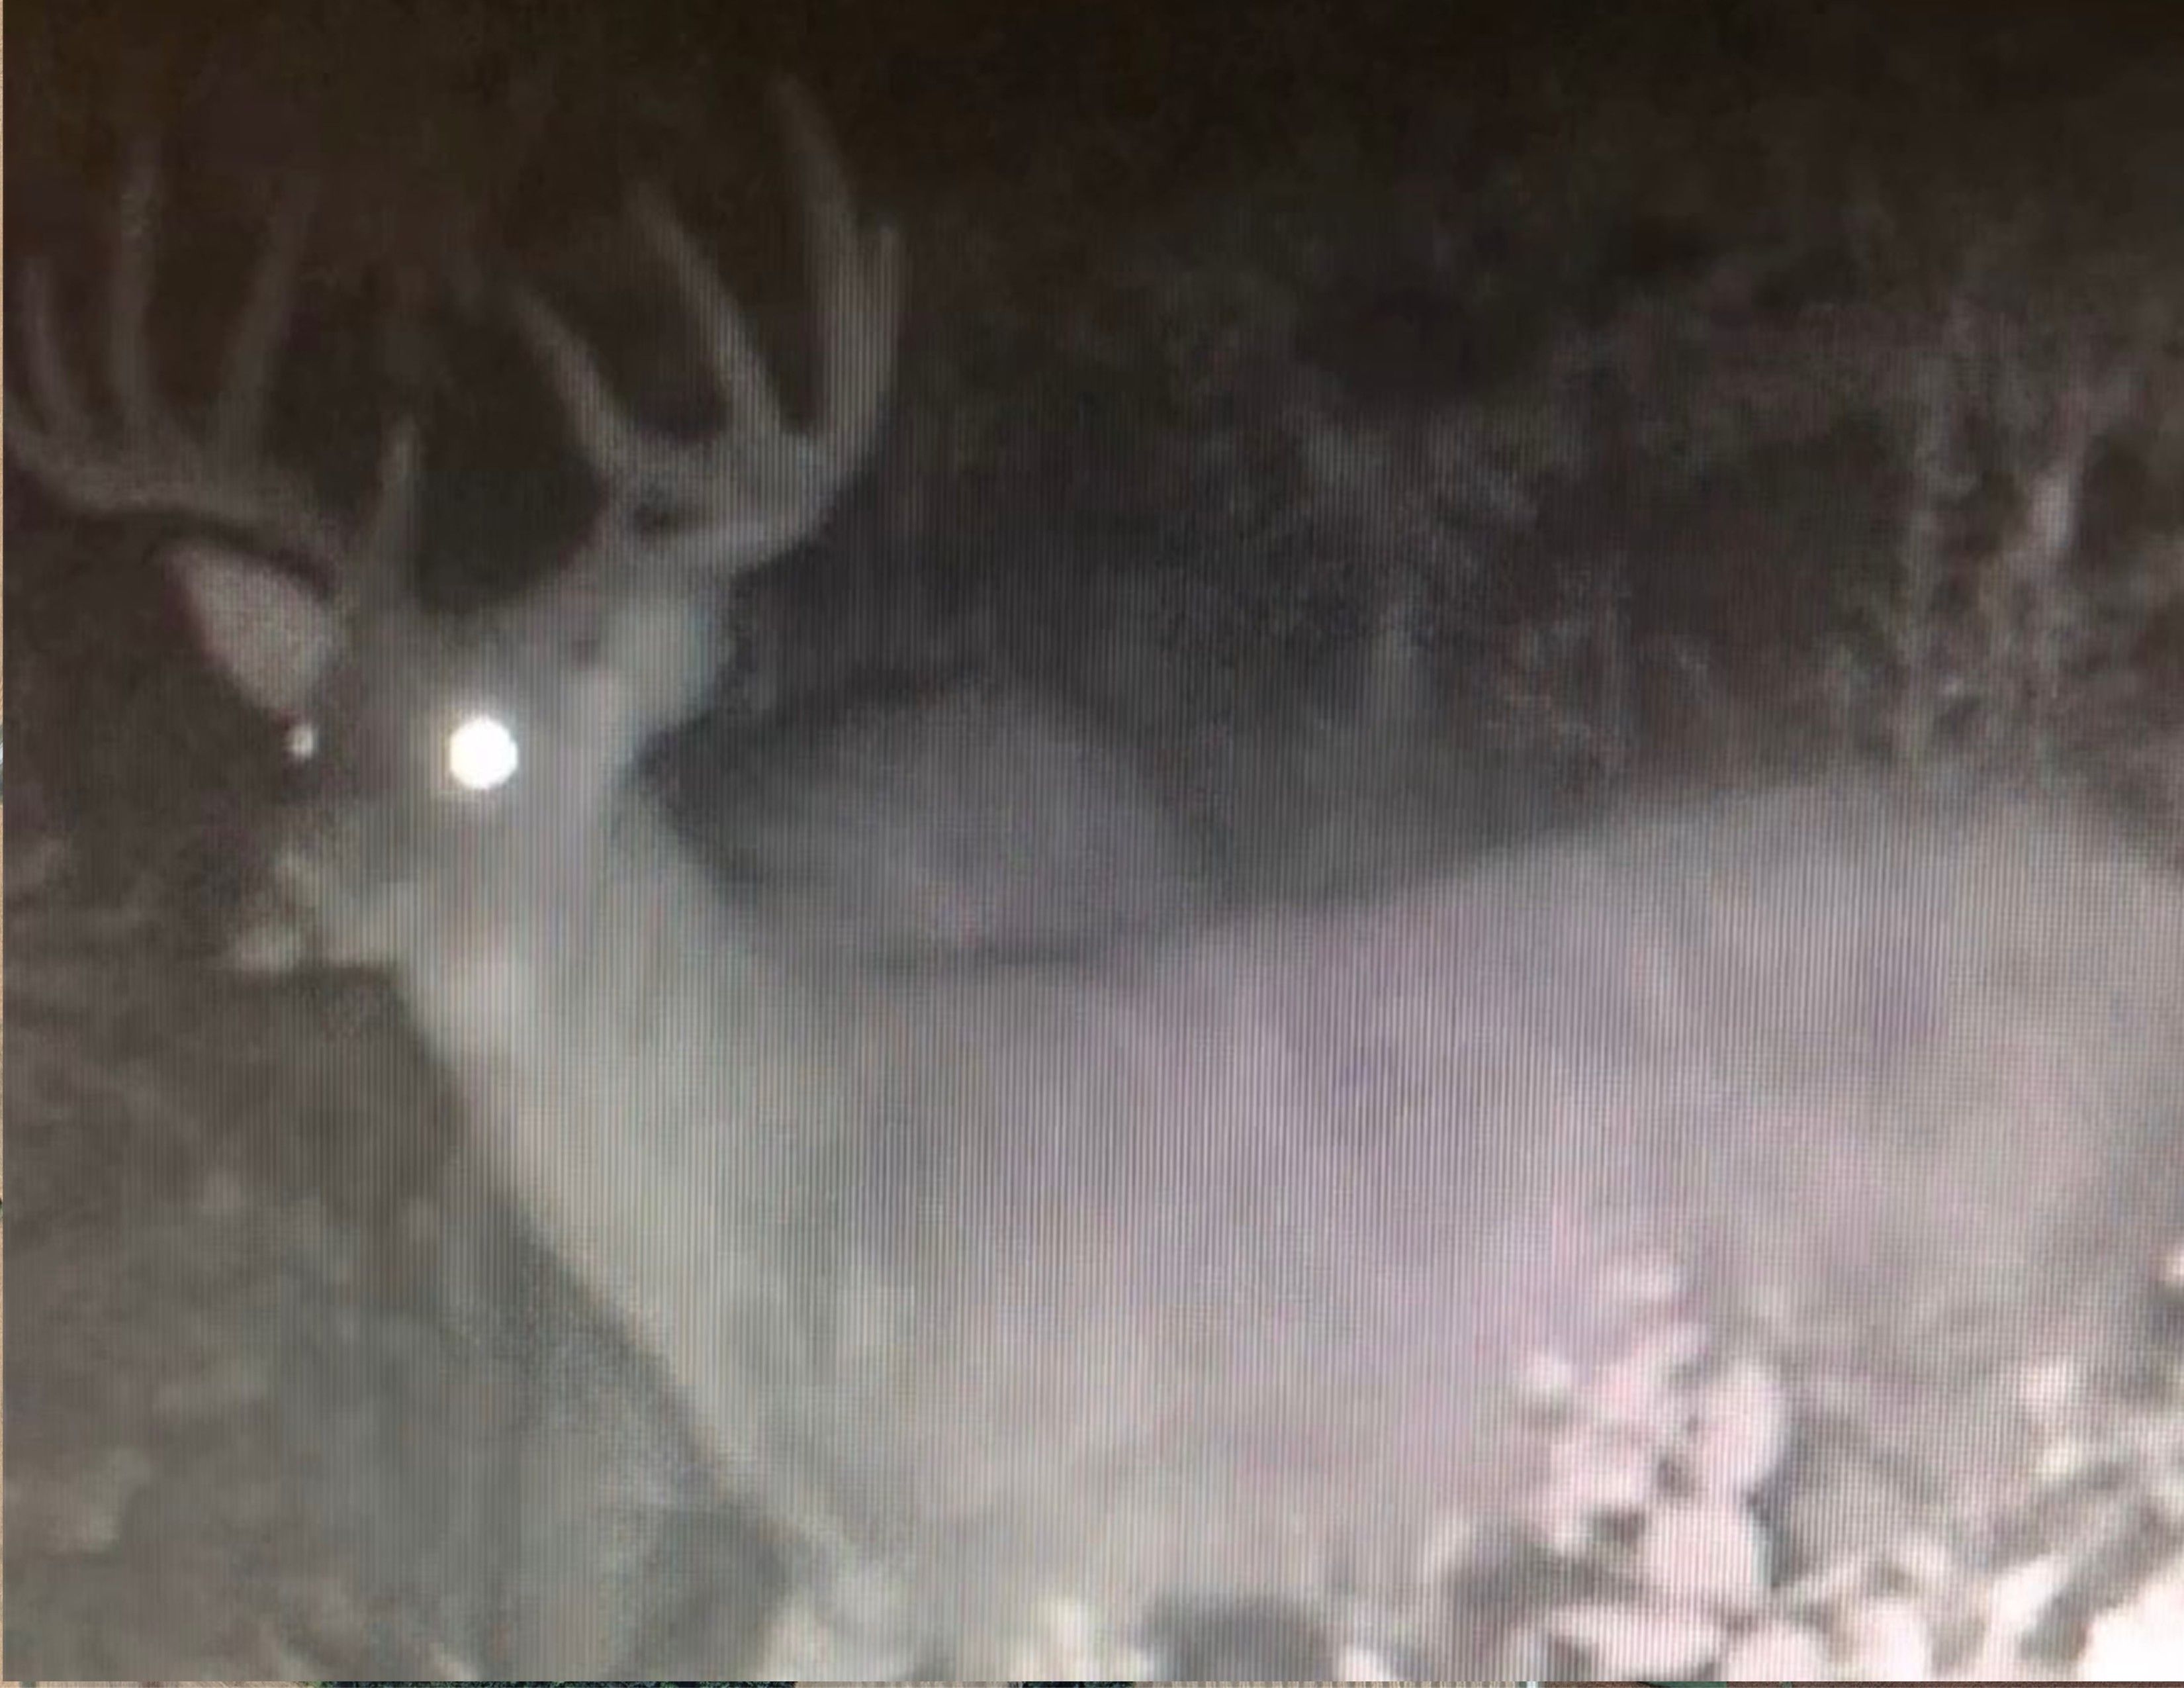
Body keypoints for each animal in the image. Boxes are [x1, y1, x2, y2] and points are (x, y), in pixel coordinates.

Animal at [12, 82, 2184, 1674]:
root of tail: (2139, 893)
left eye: (487, 748)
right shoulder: (863, 1582)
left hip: (2002, 1353)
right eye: (307, 736)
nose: (270, 889)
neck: (797, 1215)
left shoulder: (1064, 1545)